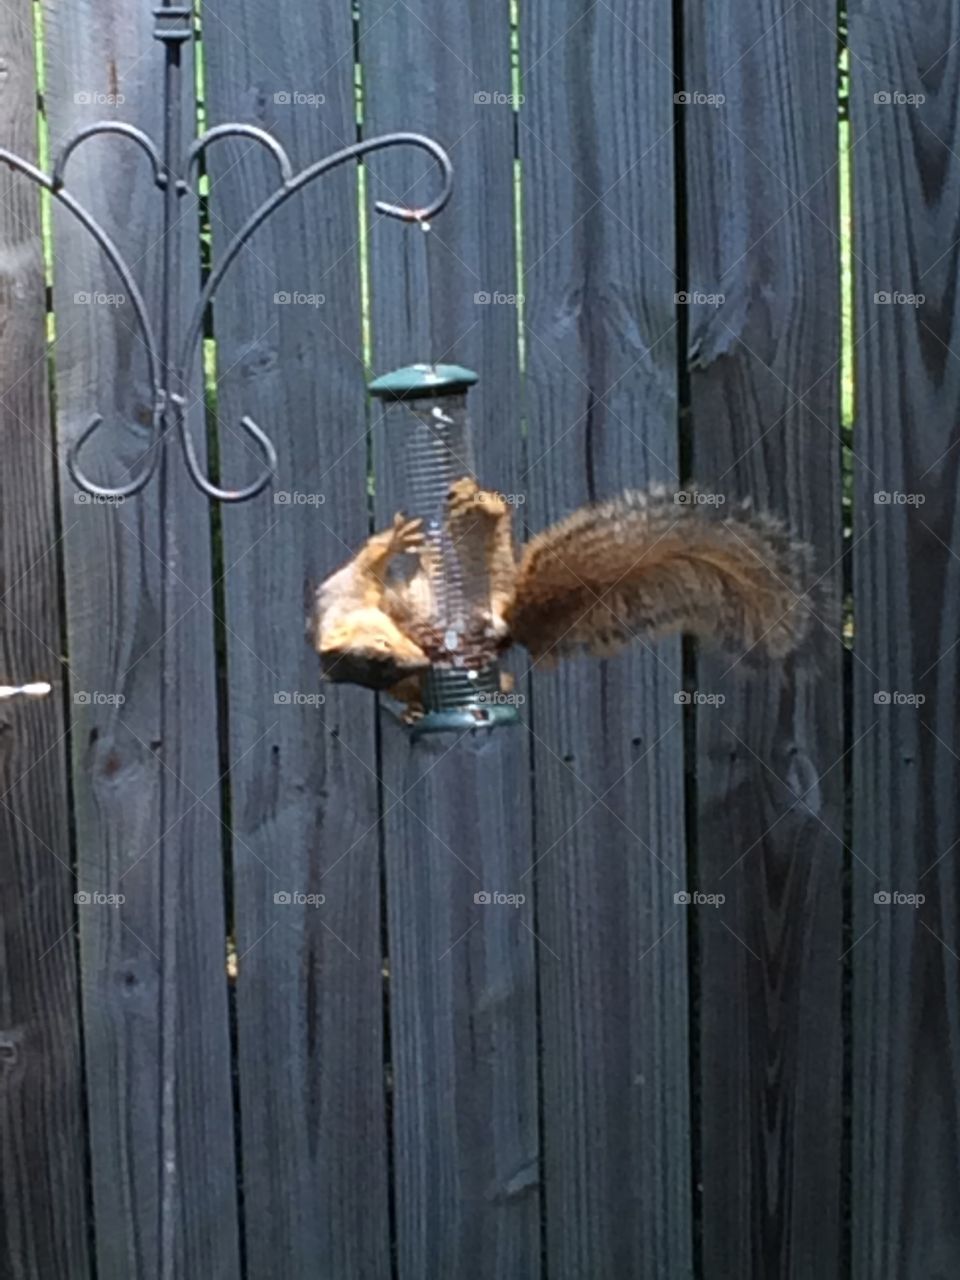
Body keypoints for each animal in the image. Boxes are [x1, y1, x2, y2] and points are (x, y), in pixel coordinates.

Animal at [308, 476, 815, 714]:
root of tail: (506, 624)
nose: (418, 662)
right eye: (380, 667)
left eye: (380, 648)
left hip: (492, 578)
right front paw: (413, 710)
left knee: (494, 545)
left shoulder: (343, 589)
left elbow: (368, 562)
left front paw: (395, 538)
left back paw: (485, 507)